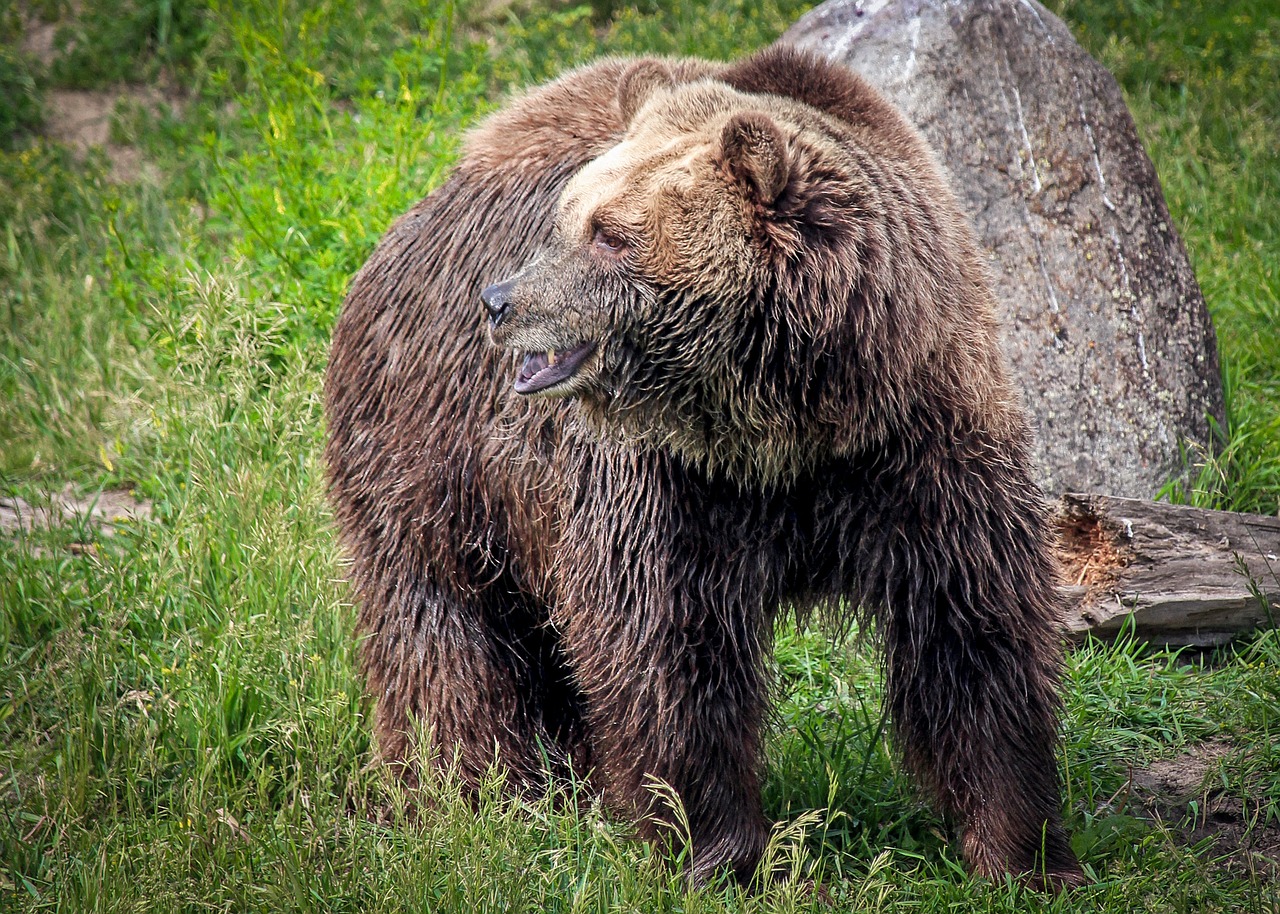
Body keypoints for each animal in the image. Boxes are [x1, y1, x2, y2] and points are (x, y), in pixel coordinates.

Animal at [325, 46, 1085, 885]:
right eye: (566, 219)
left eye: (610, 234)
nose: (499, 301)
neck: (785, 425)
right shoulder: (662, 487)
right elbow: (667, 649)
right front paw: (710, 849)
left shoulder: (921, 445)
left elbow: (972, 628)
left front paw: (1025, 852)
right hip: (434, 455)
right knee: (443, 628)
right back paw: (473, 790)